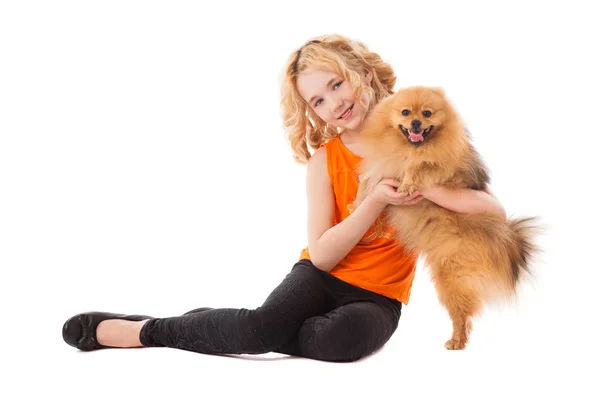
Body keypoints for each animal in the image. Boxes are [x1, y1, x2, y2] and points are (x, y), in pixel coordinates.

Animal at [354, 86, 540, 348]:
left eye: (427, 113)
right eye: (405, 112)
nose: (416, 123)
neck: (409, 148)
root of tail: (504, 236)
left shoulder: (443, 167)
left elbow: (420, 165)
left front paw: (408, 183)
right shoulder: (383, 165)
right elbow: (368, 179)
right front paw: (359, 201)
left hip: (451, 278)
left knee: (462, 314)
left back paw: (456, 342)